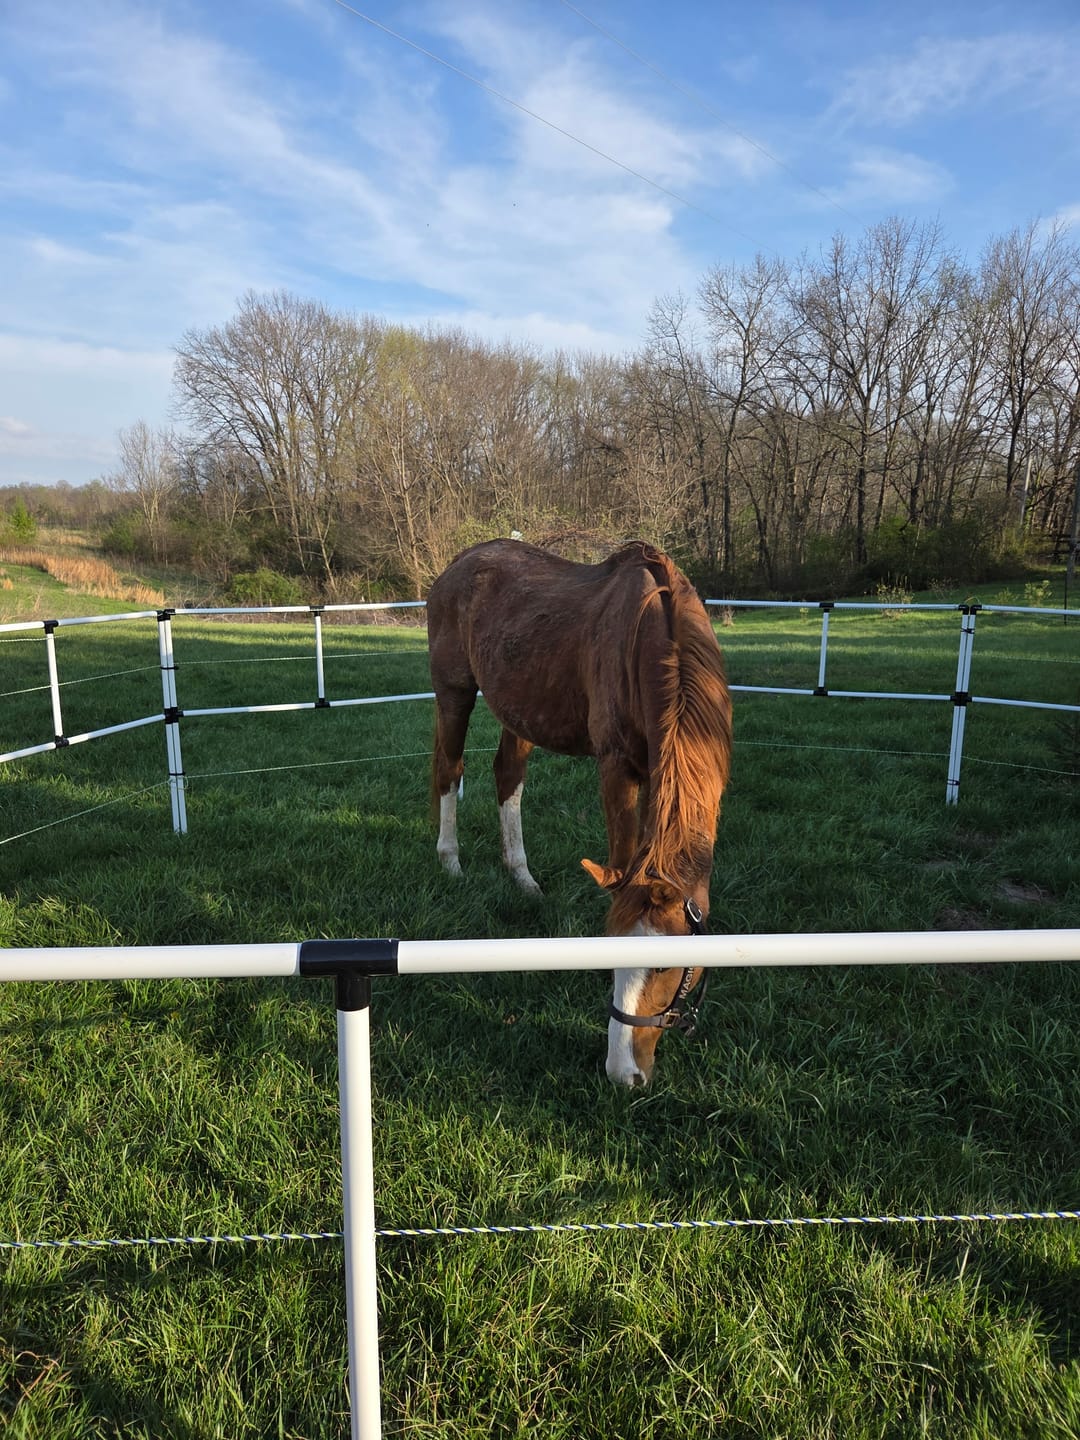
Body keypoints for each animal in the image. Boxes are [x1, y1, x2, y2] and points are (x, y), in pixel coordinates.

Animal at [427, 538, 732, 1087]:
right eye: (608, 947)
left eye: (667, 966)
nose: (623, 1072)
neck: (657, 638)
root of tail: (459, 564)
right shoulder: (617, 768)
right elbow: (624, 859)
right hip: (454, 693)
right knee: (448, 770)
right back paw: (451, 861)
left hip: (519, 711)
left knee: (507, 776)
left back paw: (521, 876)